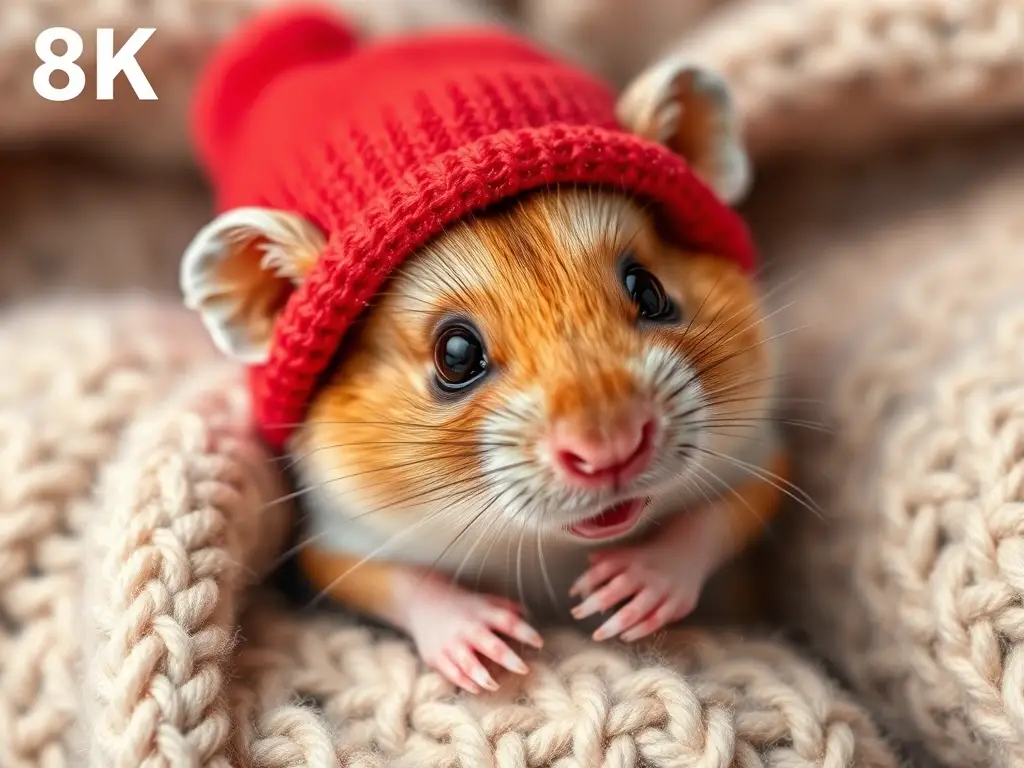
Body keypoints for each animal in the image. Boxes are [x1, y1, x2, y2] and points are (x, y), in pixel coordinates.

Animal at [180, 15, 790, 695]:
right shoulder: (342, 539)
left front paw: (629, 589)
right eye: (455, 354)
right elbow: (393, 581)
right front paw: (489, 640)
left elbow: (725, 514)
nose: (612, 448)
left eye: (649, 291)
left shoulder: (756, 457)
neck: (554, 548)